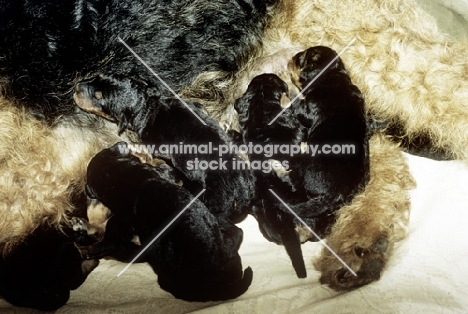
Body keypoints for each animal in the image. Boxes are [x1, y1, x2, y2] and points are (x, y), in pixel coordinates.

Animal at [74, 75, 256, 223]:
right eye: (99, 75)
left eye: (98, 97)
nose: (76, 87)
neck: (146, 104)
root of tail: (242, 191)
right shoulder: (195, 105)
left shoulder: (156, 145)